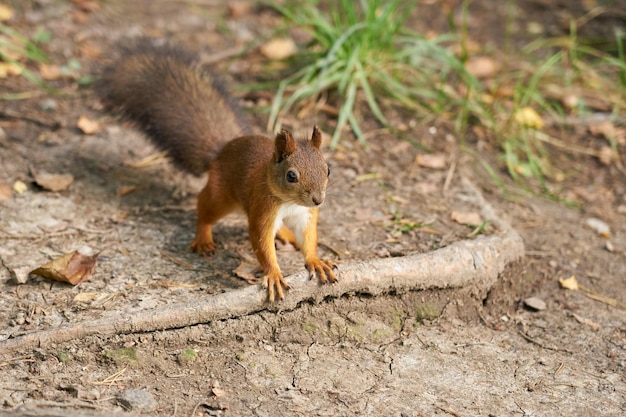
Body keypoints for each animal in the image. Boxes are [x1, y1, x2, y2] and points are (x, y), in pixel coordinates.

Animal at [96, 39, 336, 300]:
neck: (290, 203)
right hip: (222, 197)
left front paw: (316, 261)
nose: (318, 200)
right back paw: (203, 237)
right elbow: (261, 241)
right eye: (291, 176)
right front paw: (273, 274)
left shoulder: (305, 215)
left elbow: (308, 238)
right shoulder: (263, 207)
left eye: (328, 170)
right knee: (205, 205)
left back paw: (285, 235)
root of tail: (221, 151)